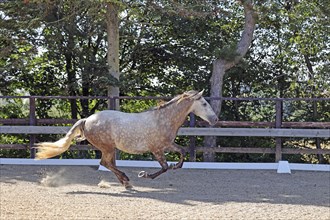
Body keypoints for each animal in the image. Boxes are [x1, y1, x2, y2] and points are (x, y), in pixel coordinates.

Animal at [34, 90, 218, 188]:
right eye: (204, 104)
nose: (215, 119)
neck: (163, 119)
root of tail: (87, 120)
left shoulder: (167, 145)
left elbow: (182, 152)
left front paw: (176, 166)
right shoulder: (157, 149)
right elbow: (164, 167)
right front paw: (144, 174)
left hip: (110, 148)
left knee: (108, 163)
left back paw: (125, 182)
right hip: (107, 147)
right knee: (105, 163)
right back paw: (127, 180)